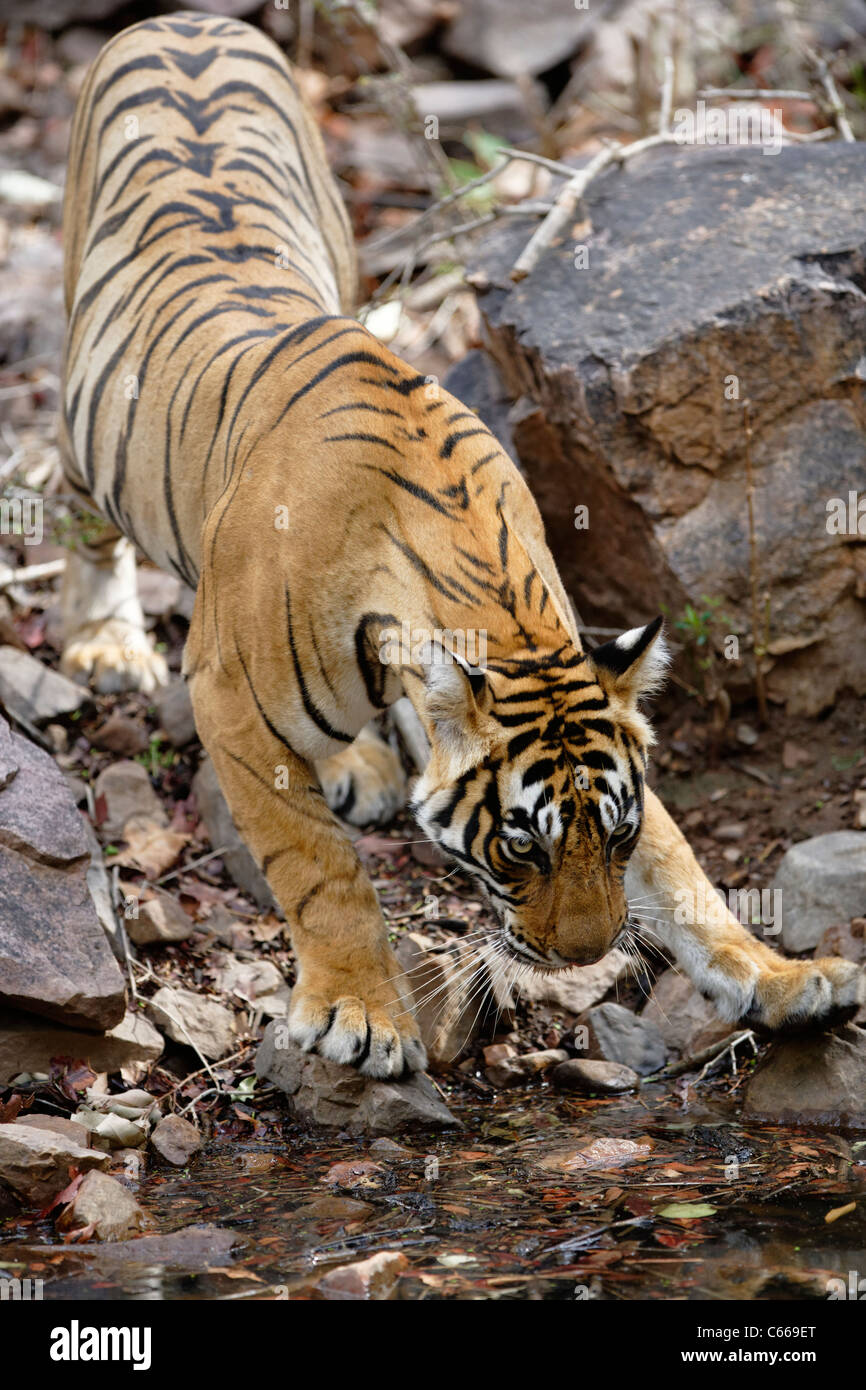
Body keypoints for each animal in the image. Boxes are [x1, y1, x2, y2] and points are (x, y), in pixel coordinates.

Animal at [57, 8, 861, 1073]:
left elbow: (685, 871)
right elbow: (318, 866)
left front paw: (782, 979)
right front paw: (360, 1012)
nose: (590, 955)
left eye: (612, 836)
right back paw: (102, 642)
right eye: (521, 845)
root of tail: (183, 19)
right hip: (86, 419)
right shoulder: (228, 695)